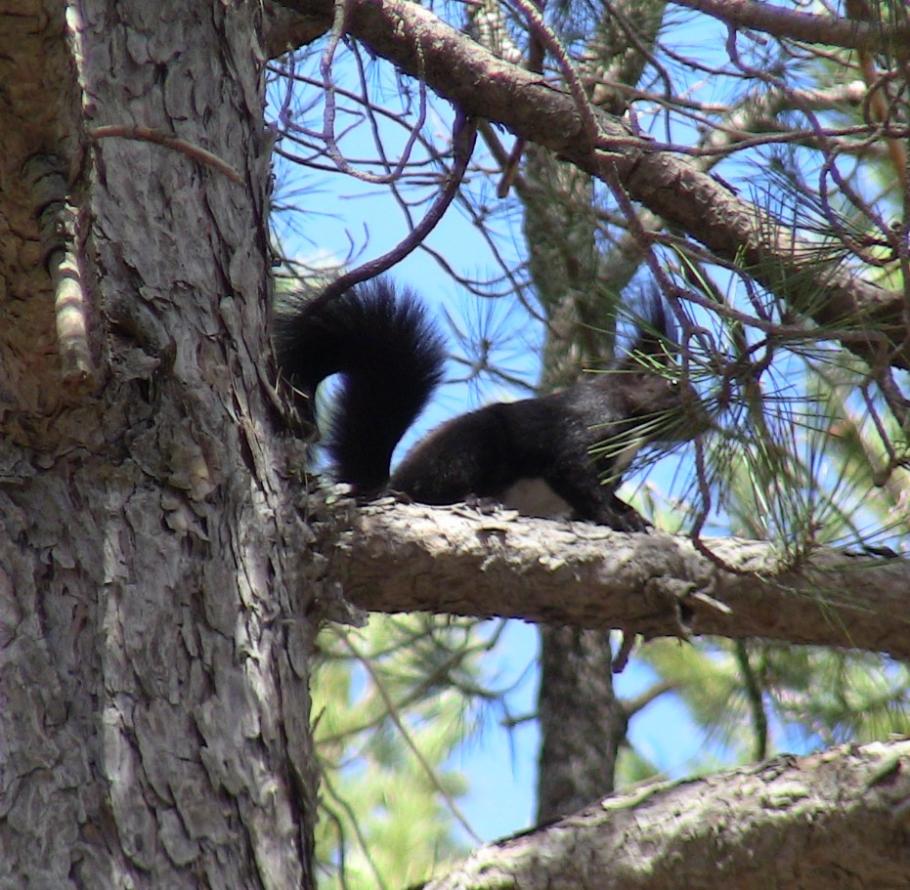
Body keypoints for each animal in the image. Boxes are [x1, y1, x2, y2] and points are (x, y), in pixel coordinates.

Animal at [274, 278, 708, 528]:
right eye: (674, 385)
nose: (706, 421)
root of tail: (391, 485)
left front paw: (631, 514)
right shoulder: (585, 428)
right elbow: (574, 475)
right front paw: (616, 520)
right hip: (471, 449)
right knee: (445, 489)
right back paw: (476, 500)